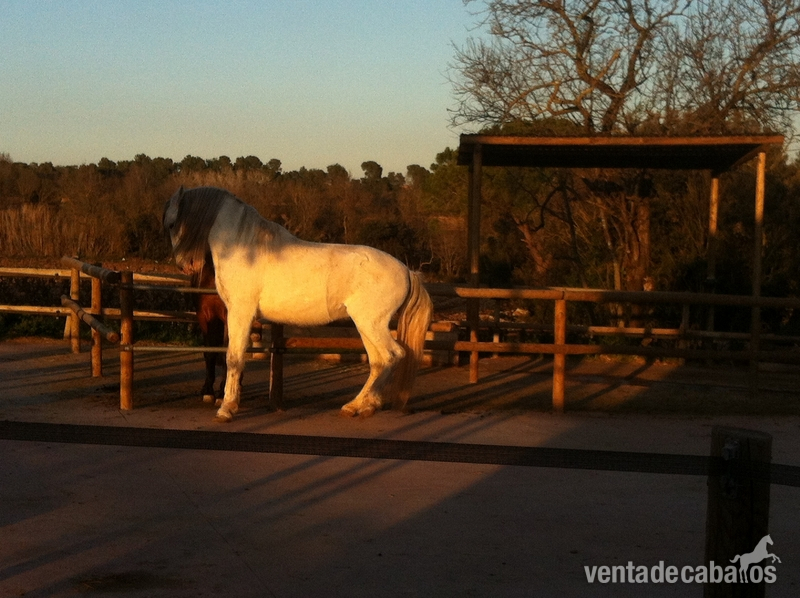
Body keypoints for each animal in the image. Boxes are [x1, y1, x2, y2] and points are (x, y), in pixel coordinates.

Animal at [163, 186, 433, 422]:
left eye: (171, 223)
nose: (185, 265)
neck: (244, 248)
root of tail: (407, 271)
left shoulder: (240, 313)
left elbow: (233, 357)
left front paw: (227, 409)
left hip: (371, 324)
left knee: (392, 356)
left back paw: (361, 405)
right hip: (367, 326)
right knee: (378, 361)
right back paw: (359, 407)